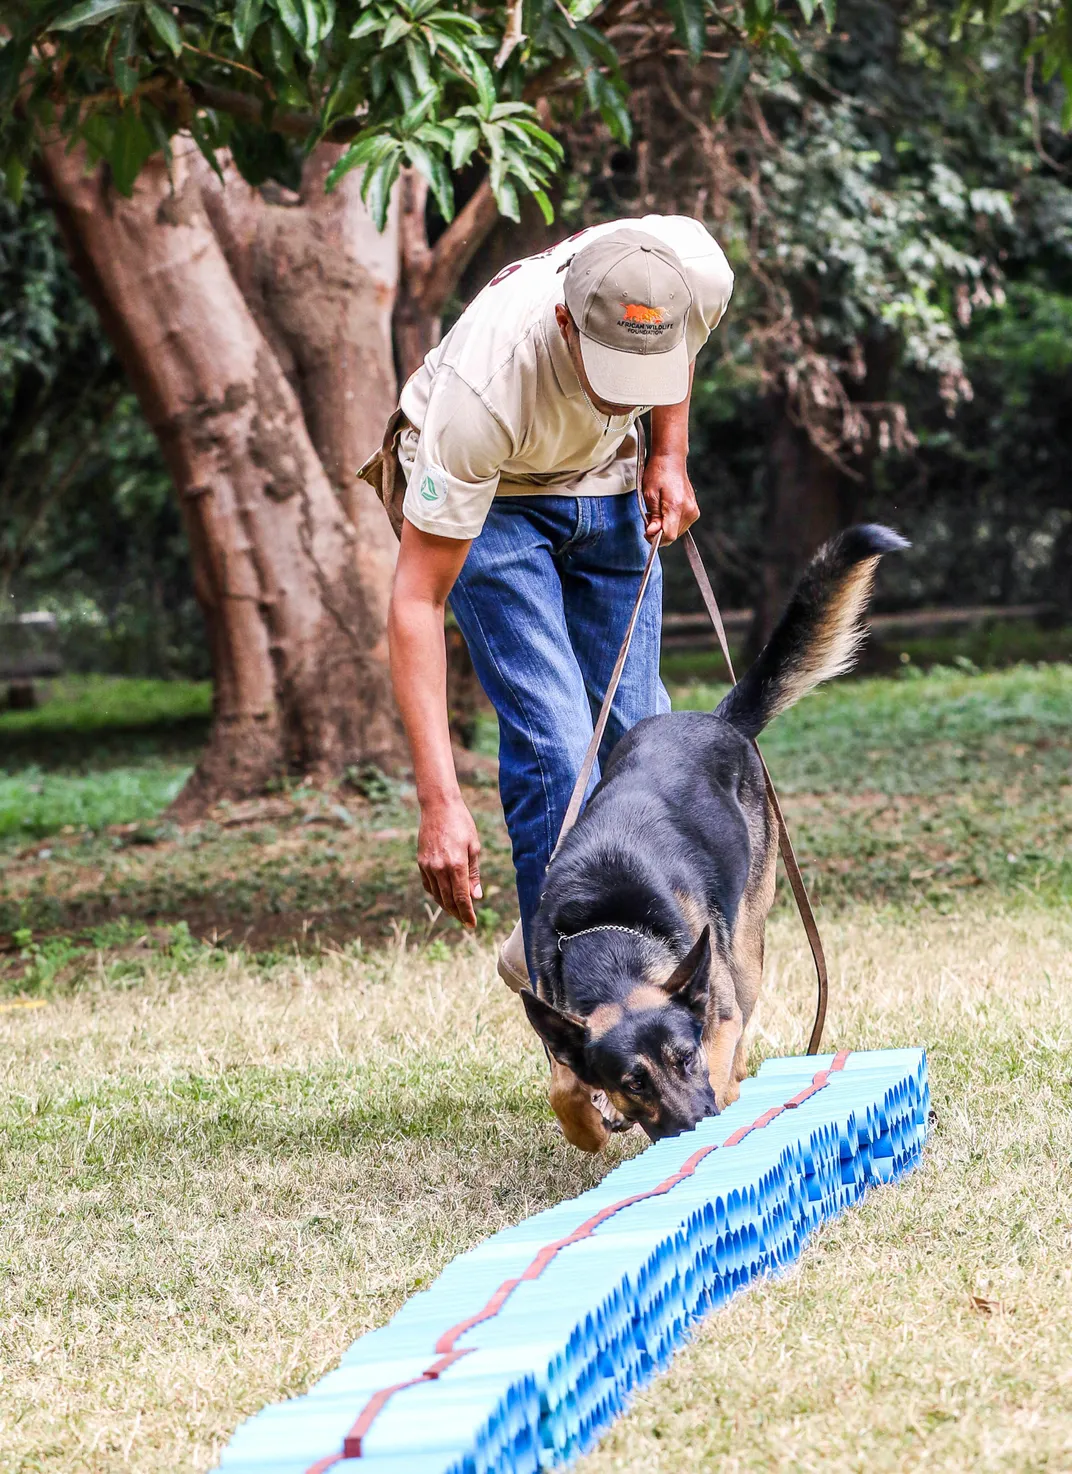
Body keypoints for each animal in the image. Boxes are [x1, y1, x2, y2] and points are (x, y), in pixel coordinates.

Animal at [519, 524, 908, 1155]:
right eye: (634, 1082)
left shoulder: (716, 1018)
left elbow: (723, 1056)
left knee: (743, 1023)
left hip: (745, 948)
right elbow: (564, 1084)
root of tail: (716, 719)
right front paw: (589, 1125)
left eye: (686, 1058)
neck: (612, 932)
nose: (696, 1127)